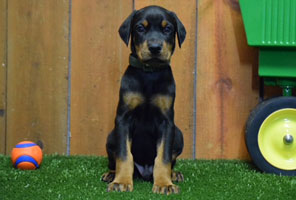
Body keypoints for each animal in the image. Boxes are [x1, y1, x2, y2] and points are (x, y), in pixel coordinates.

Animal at [102, 5, 185, 195]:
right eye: (140, 28)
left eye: (167, 29)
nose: (154, 47)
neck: (149, 73)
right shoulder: (123, 119)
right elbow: (124, 155)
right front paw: (121, 182)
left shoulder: (166, 122)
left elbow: (163, 157)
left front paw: (165, 184)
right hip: (111, 137)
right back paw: (111, 174)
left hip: (178, 134)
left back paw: (174, 174)